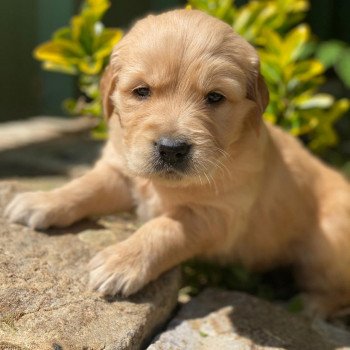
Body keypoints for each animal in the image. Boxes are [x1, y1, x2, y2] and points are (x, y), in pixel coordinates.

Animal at [4, 9, 350, 318]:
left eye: (215, 97)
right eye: (142, 91)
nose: (171, 149)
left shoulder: (216, 215)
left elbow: (163, 229)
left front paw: (121, 261)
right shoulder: (122, 171)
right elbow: (85, 184)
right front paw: (43, 200)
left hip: (327, 241)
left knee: (336, 289)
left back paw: (309, 307)